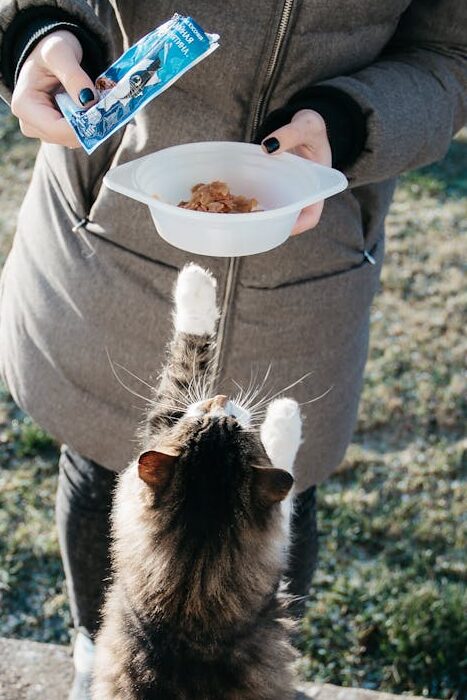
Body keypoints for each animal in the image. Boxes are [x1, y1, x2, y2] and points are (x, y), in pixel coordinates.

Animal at [92, 264, 304, 700]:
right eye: (210, 417)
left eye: (227, 419)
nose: (220, 399)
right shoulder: (164, 418)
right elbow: (188, 358)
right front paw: (196, 281)